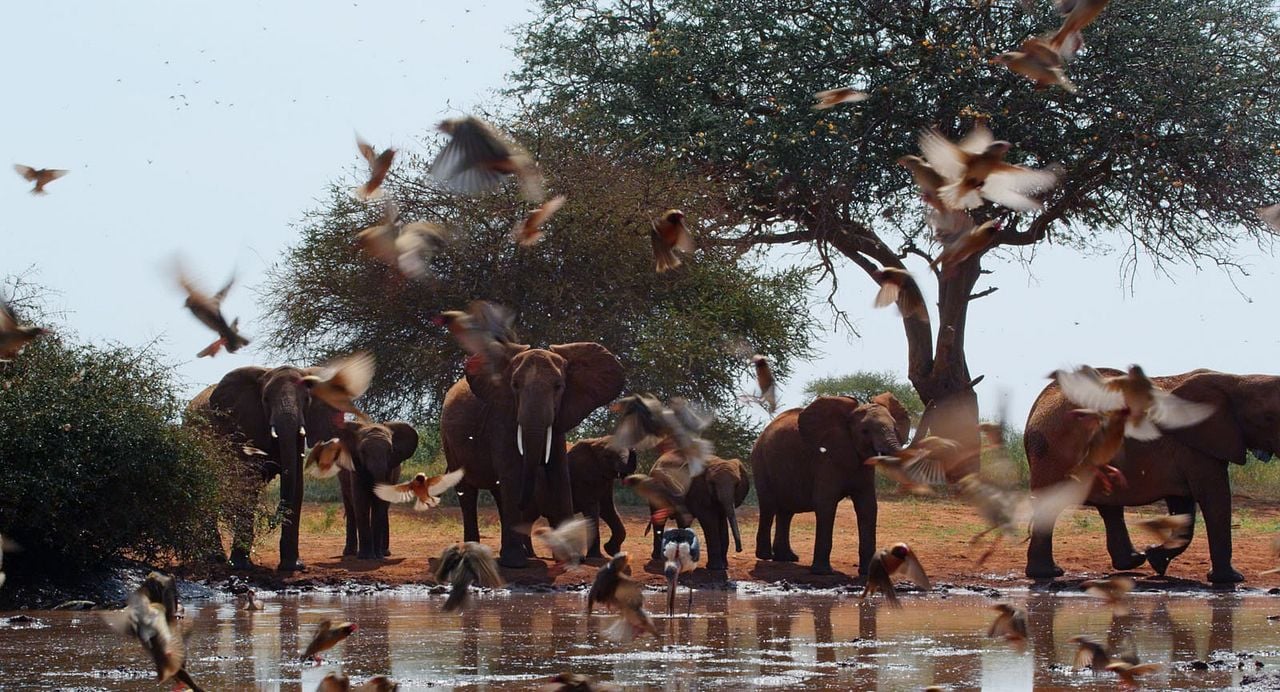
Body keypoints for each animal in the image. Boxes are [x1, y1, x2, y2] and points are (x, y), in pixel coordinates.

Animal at [188, 365, 342, 571]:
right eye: (266, 400)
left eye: (307, 400)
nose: (270, 522)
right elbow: (247, 482)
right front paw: (239, 566)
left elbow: (296, 483)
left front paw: (292, 567)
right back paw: (216, 559)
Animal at [331, 420, 419, 560]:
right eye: (362, 451)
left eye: (390, 451)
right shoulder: (356, 466)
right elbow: (360, 499)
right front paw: (365, 557)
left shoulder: (390, 469)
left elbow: (380, 502)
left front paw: (377, 557)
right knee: (350, 506)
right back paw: (349, 553)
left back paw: (384, 553)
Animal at [440, 342, 625, 568]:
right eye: (515, 385)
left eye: (558, 386)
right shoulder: (500, 418)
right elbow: (512, 473)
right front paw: (515, 563)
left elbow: (560, 473)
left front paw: (572, 559)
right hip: (449, 443)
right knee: (468, 492)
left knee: (498, 493)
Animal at [751, 392, 910, 575]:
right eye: (865, 431)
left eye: (895, 428)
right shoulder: (826, 458)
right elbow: (825, 504)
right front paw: (822, 572)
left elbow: (867, 506)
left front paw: (868, 572)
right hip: (760, 461)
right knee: (768, 506)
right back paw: (765, 556)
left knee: (786, 511)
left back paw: (787, 558)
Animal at [1024, 368, 1280, 584]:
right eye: (1269, 418)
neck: (1237, 380)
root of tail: (1037, 406)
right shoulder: (1195, 445)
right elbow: (1213, 498)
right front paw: (1230, 580)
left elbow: (1183, 506)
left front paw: (1156, 560)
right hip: (1056, 451)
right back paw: (1048, 574)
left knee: (1109, 507)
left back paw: (1132, 561)